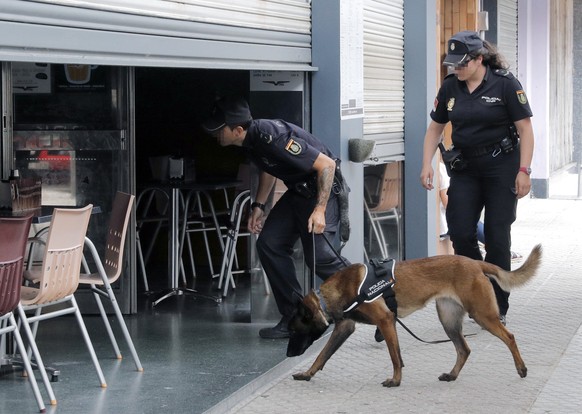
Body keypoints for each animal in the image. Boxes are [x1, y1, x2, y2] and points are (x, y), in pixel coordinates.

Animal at [290, 244, 544, 386]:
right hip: (448, 319)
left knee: (509, 337)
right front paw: (307, 373)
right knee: (464, 349)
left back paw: (521, 369)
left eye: (293, 330)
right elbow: (322, 355)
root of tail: (475, 263)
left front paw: (395, 380)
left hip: (482, 315)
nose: (288, 353)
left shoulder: (385, 321)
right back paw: (451, 375)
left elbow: (394, 356)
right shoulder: (345, 327)